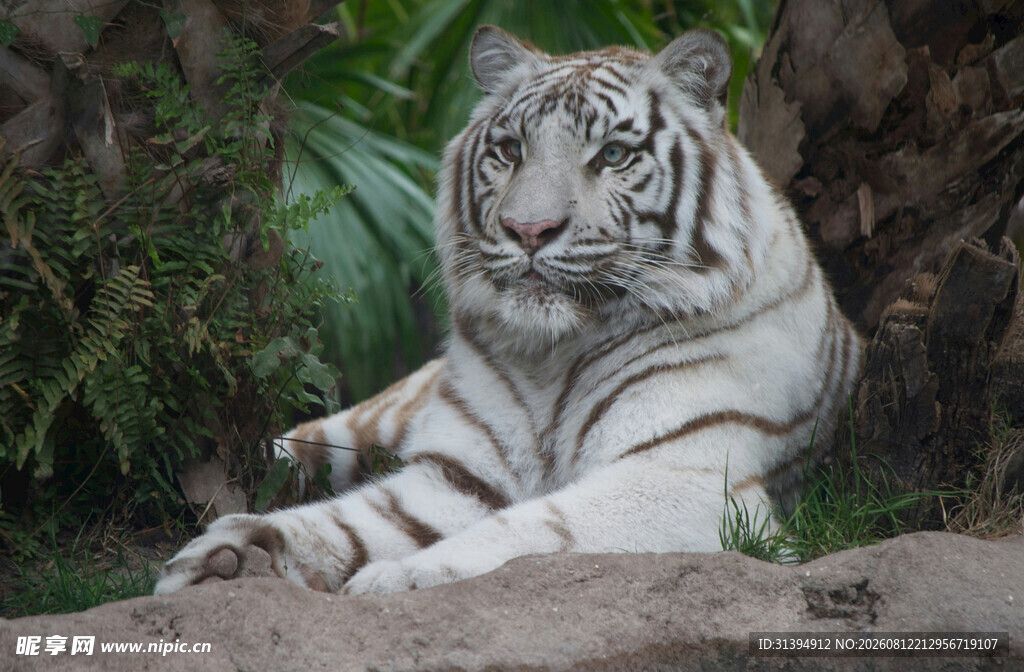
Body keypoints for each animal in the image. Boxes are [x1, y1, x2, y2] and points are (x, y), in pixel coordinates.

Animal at [154, 25, 861, 596]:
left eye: (612, 154)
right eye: (511, 150)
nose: (528, 230)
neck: (555, 357)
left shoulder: (687, 481)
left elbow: (537, 529)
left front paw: (395, 578)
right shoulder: (460, 475)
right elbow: (354, 520)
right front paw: (235, 554)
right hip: (368, 422)